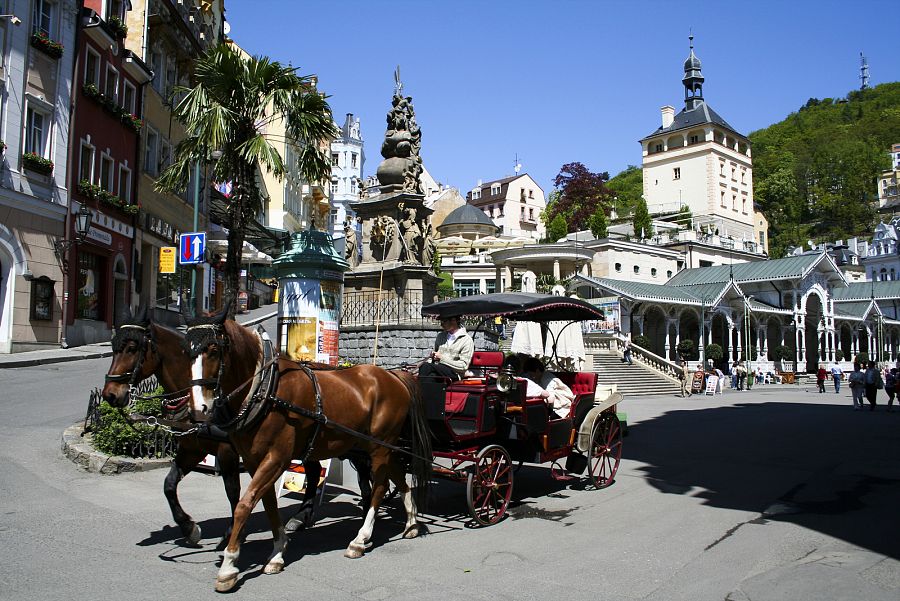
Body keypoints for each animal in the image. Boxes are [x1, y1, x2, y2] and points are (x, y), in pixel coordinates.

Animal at [184, 310, 432, 592]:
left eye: (214, 350)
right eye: (186, 351)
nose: (198, 409)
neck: (266, 389)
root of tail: (394, 376)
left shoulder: (276, 458)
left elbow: (244, 505)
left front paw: (229, 567)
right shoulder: (255, 460)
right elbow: (268, 503)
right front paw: (277, 552)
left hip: (380, 447)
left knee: (380, 487)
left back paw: (360, 539)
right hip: (376, 447)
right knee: (400, 478)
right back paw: (411, 522)